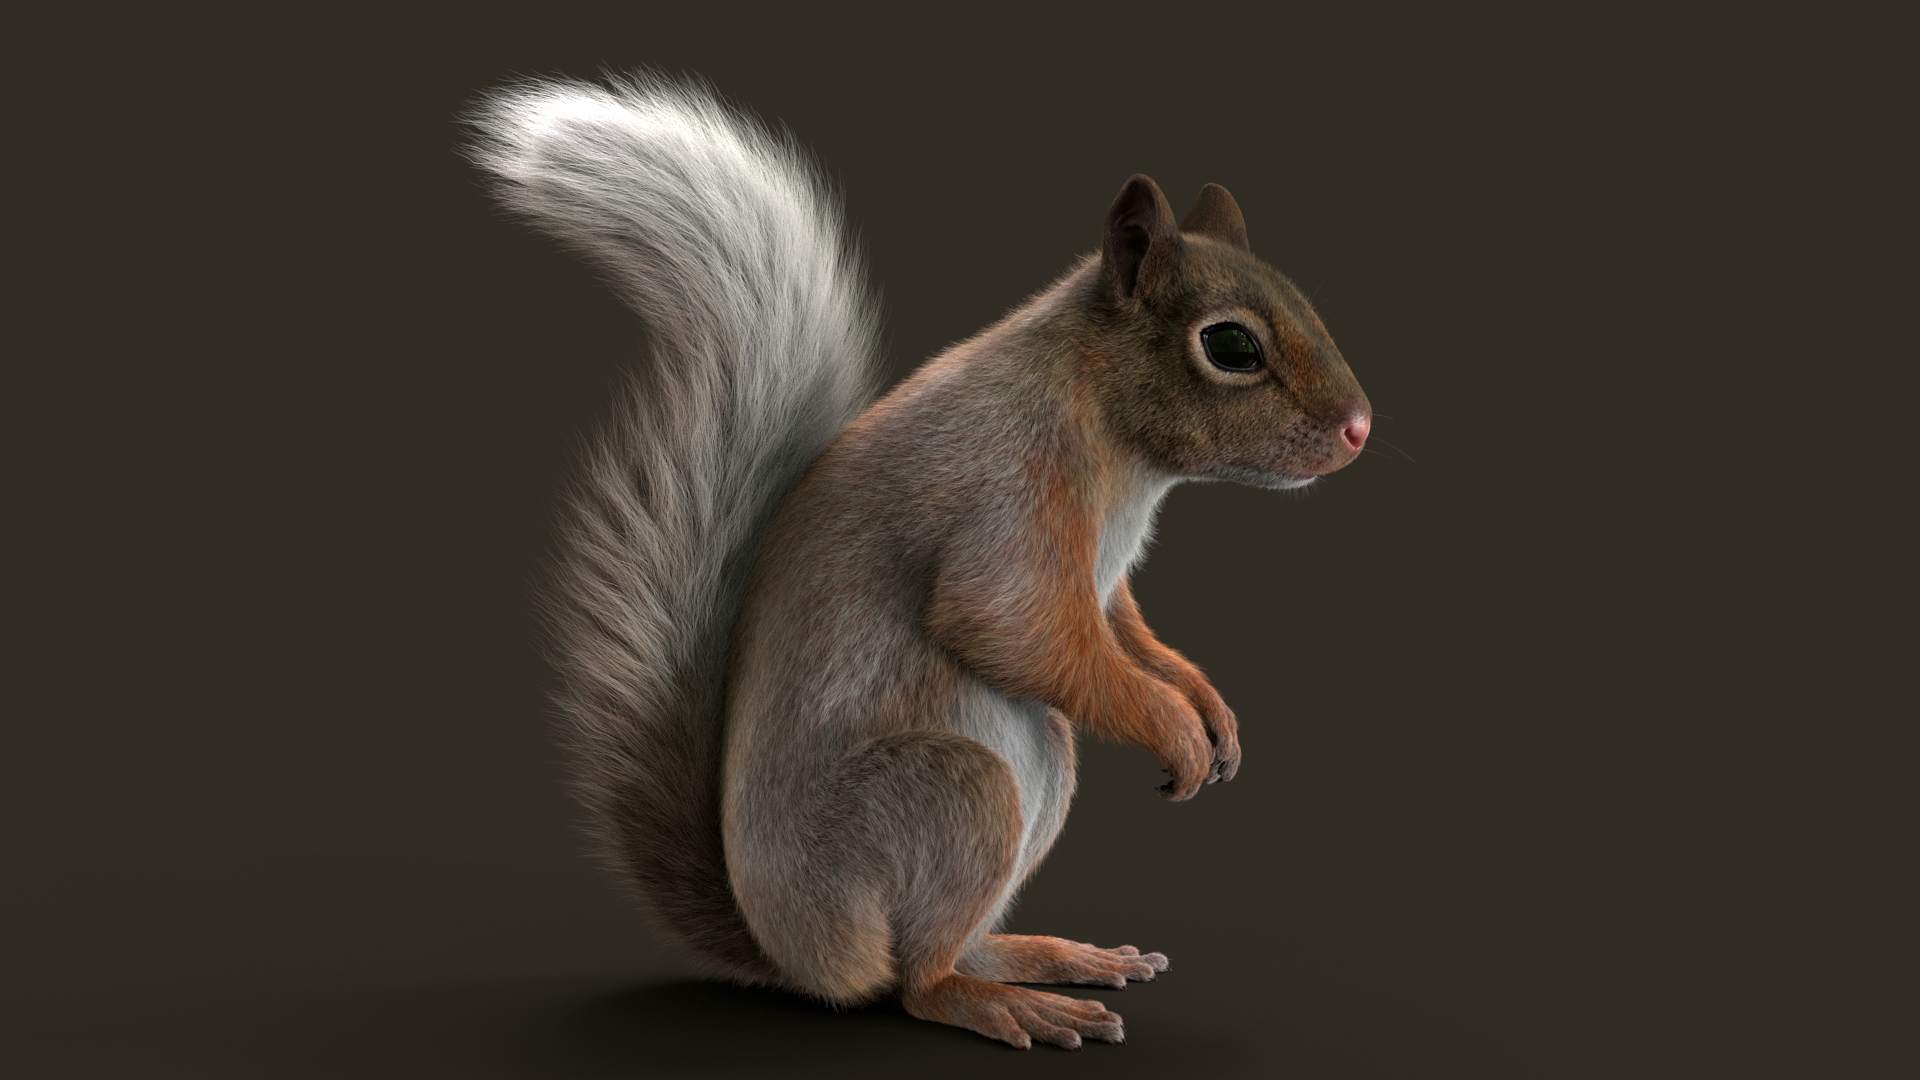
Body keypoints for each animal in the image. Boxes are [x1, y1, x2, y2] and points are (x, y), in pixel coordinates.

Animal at [468, 75, 1370, 1050]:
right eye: (1231, 346)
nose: (1361, 429)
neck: (1109, 430)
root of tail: (795, 954)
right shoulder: (1006, 494)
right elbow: (1011, 626)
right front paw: (1174, 726)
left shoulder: (1101, 584)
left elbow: (1123, 630)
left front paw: (1209, 708)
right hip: (946, 796)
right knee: (915, 983)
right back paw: (997, 1001)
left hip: (1034, 777)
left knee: (946, 946)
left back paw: (1042, 956)